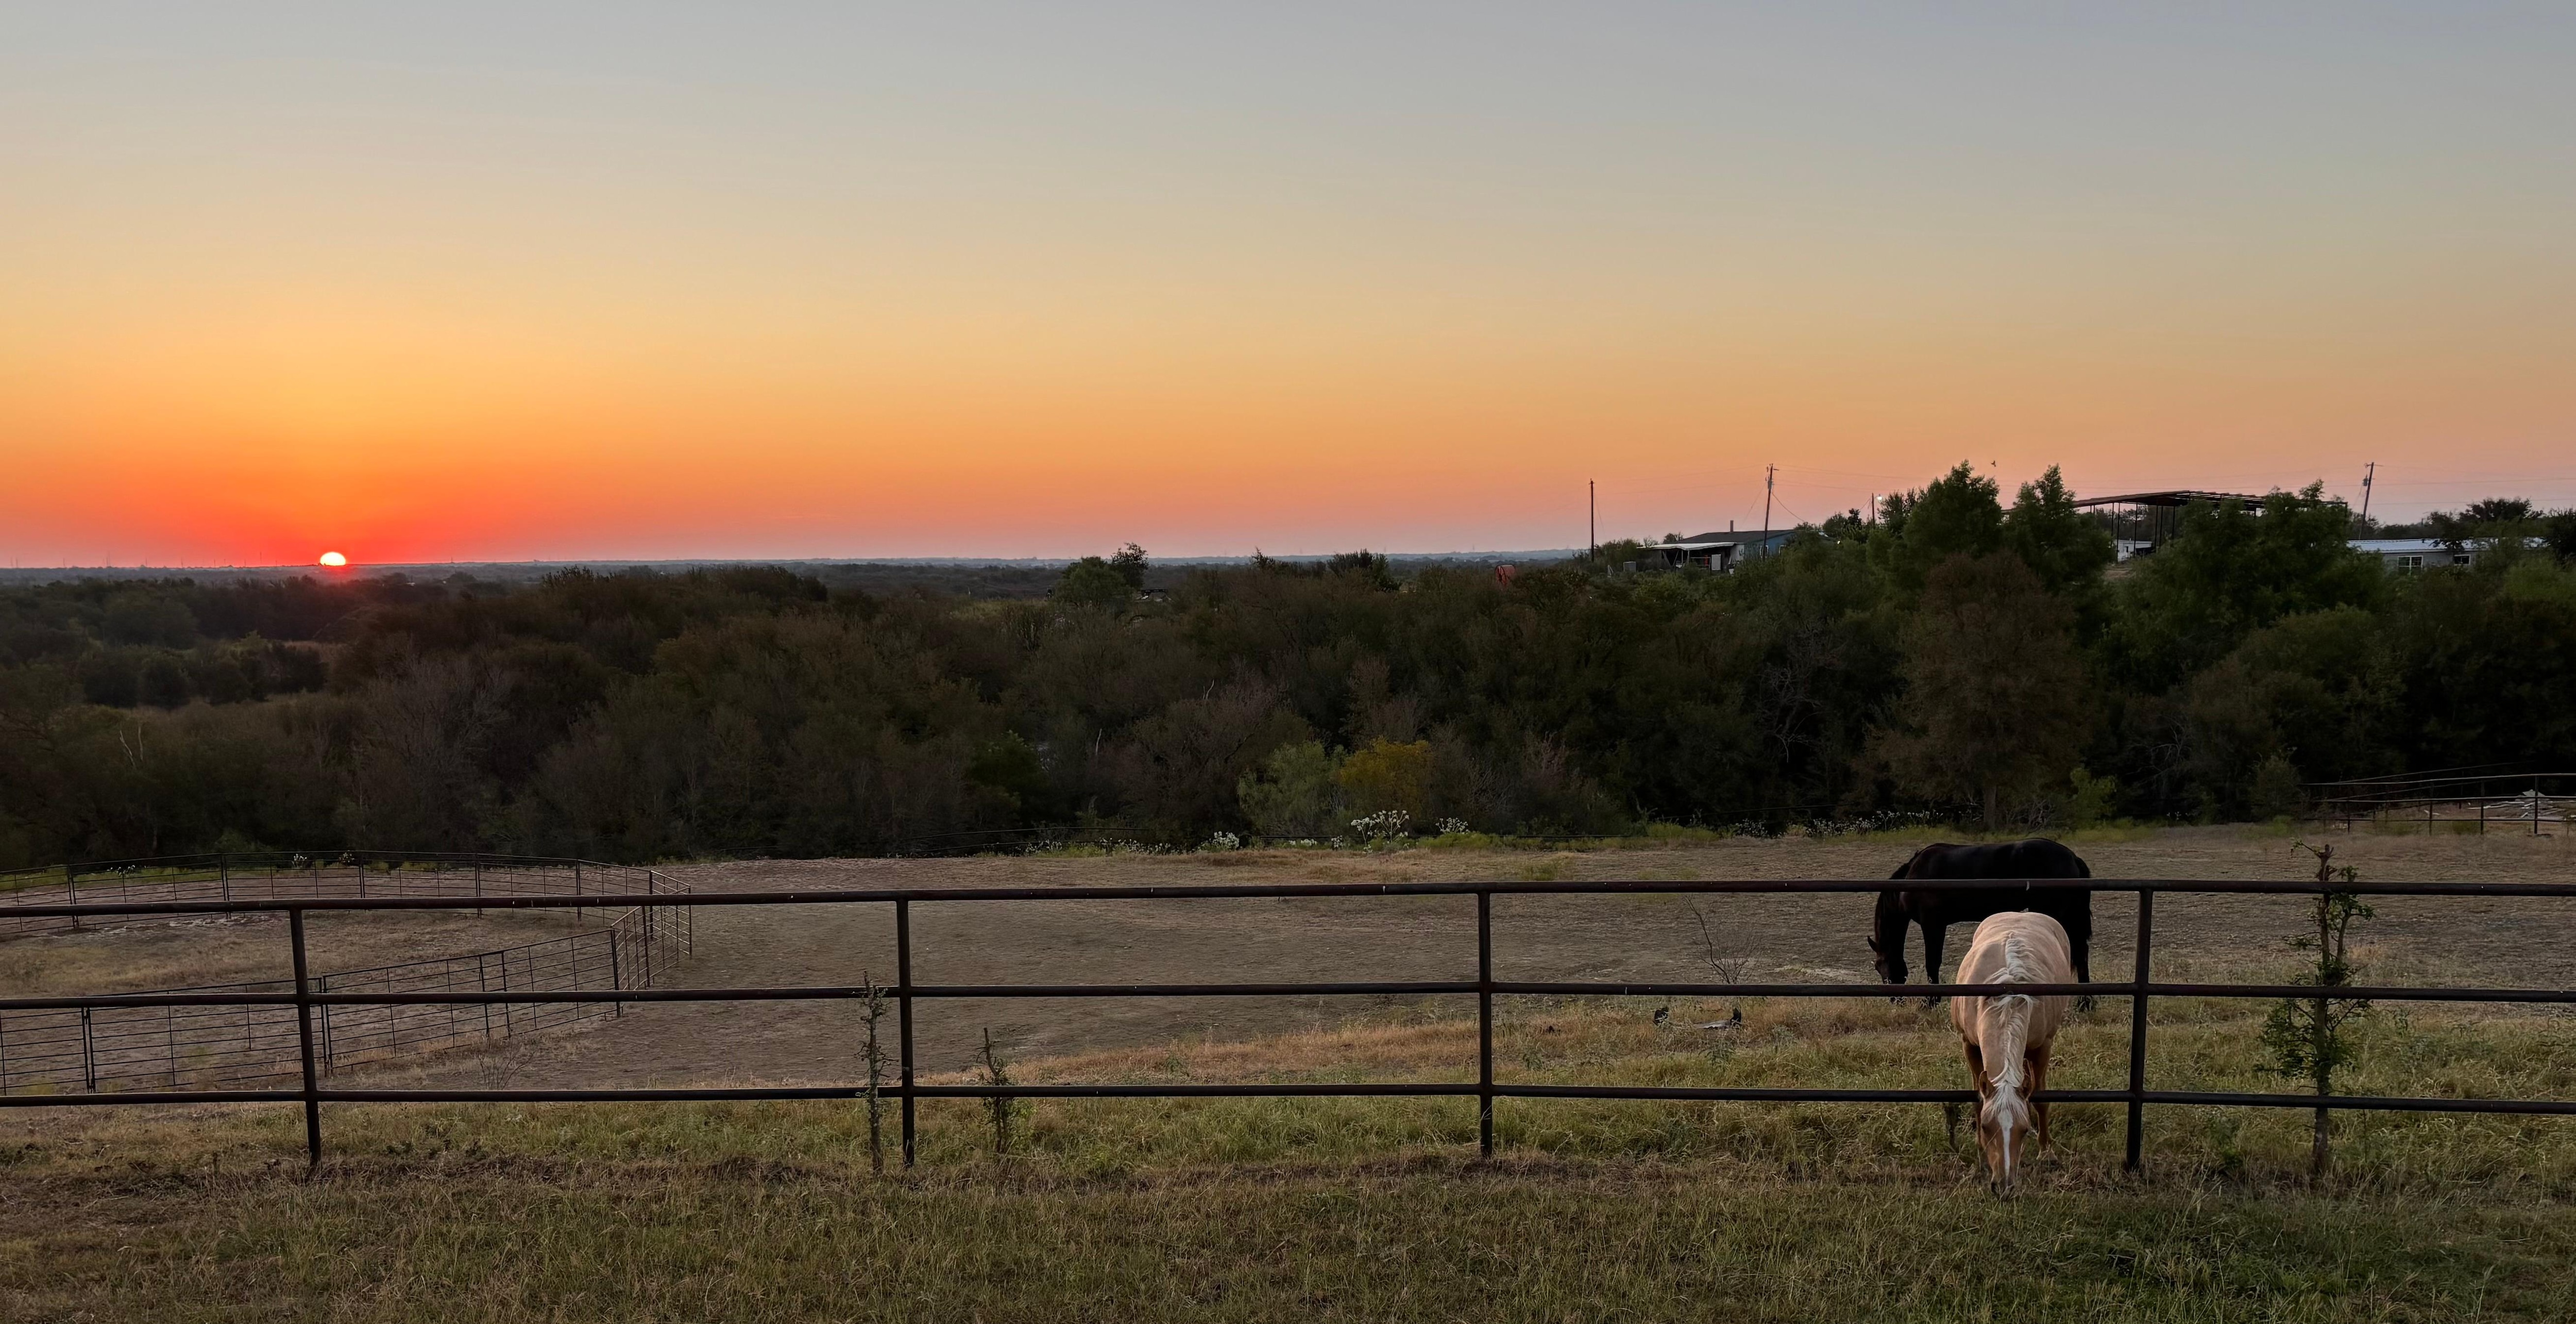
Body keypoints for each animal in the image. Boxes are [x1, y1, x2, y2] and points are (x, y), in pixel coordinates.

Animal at [1870, 839, 2093, 1000]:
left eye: (1882, 965)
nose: (1895, 1000)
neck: (1914, 875)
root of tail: (2073, 857)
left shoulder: (1933, 924)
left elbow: (1933, 962)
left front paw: (1931, 1002)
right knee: (2081, 954)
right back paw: (2085, 1004)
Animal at [1950, 911, 2076, 1195]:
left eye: (2024, 1129)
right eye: (1987, 1127)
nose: (2004, 1186)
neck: (2005, 1000)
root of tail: (2023, 913)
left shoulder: (2043, 1047)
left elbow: (2040, 1098)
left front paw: (2046, 1152)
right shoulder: (1968, 1045)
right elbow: (1978, 1098)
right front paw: (1979, 1148)